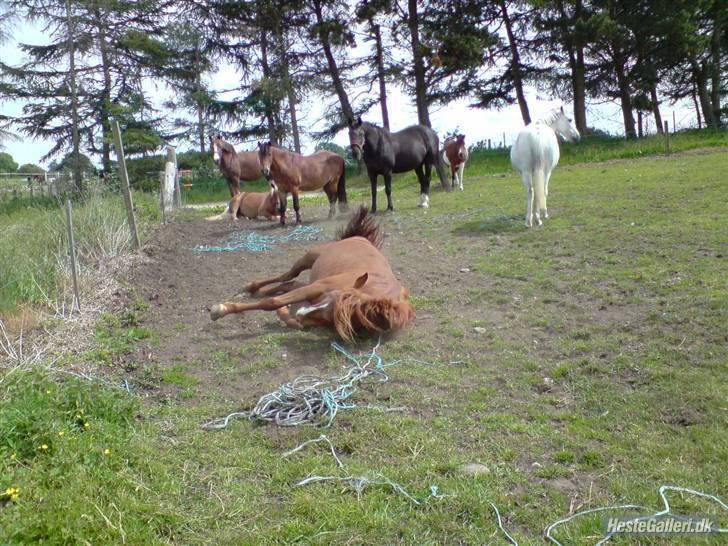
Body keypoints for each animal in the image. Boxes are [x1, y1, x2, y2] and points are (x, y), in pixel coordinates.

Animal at [210, 206, 416, 338]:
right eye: (331, 296)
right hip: (308, 259)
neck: (374, 286)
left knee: (290, 283)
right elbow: (271, 303)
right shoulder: (318, 287)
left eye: (329, 317)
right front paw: (221, 309)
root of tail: (359, 237)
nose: (301, 312)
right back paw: (251, 288)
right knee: (288, 276)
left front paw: (288, 315)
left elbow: (288, 314)